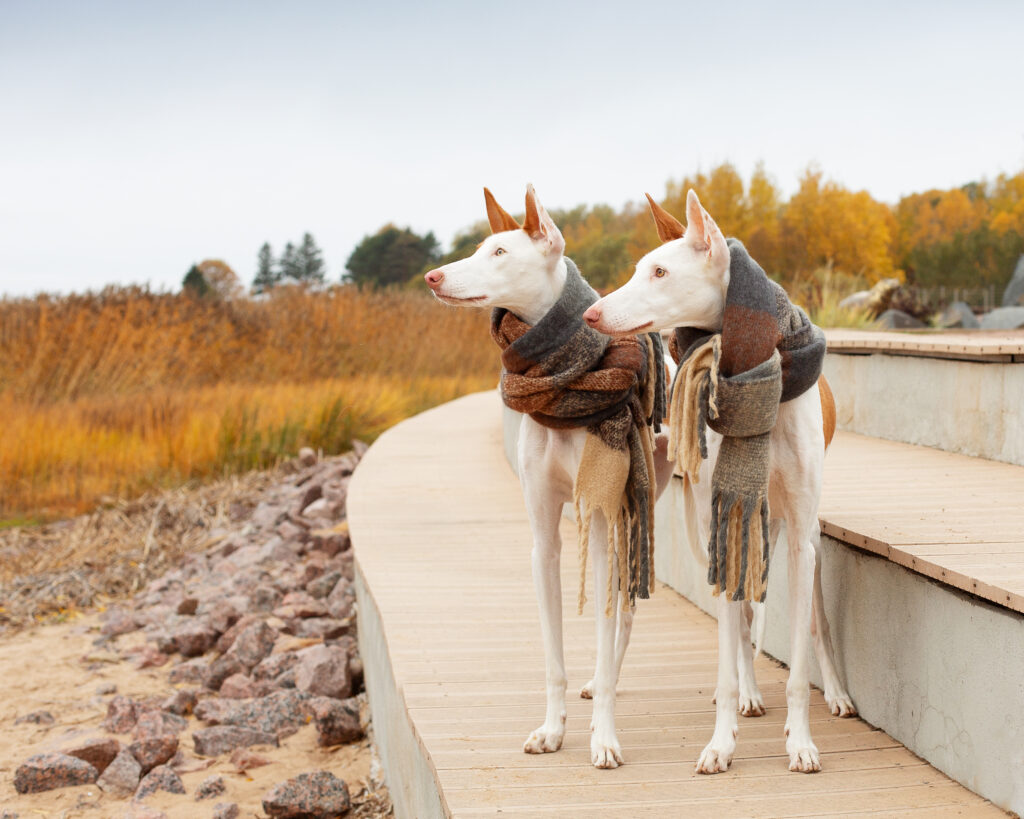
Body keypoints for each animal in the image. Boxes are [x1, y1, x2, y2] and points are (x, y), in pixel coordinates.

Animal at [425, 185, 679, 769]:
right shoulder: (543, 541)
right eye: (478, 247)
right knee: (625, 611)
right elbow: (553, 655)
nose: (433, 277)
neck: (561, 375)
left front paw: (604, 738)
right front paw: (553, 729)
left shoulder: (601, 524)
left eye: (499, 253)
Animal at [585, 188, 856, 769]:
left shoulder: (800, 541)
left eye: (660, 271)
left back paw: (836, 693)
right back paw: (746, 692)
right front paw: (721, 741)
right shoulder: (725, 516)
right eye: (640, 268)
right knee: (739, 619)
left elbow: (801, 656)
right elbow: (733, 639)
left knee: (813, 619)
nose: (592, 313)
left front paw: (801, 742)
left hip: (802, 535)